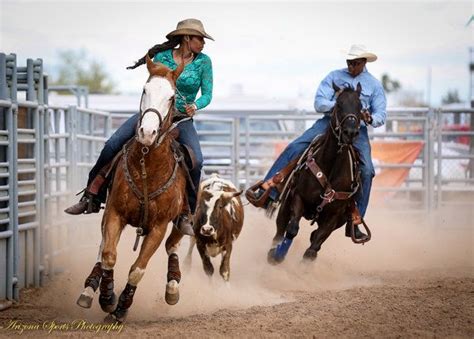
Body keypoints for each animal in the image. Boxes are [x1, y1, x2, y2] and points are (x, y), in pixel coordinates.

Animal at [76, 56, 189, 324]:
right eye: (144, 90)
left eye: (172, 97)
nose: (147, 133)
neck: (148, 166)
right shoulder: (114, 213)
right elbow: (109, 255)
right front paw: (107, 297)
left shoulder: (158, 227)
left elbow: (137, 269)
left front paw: (121, 308)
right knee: (102, 248)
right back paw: (89, 289)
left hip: (181, 221)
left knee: (173, 245)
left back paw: (172, 287)